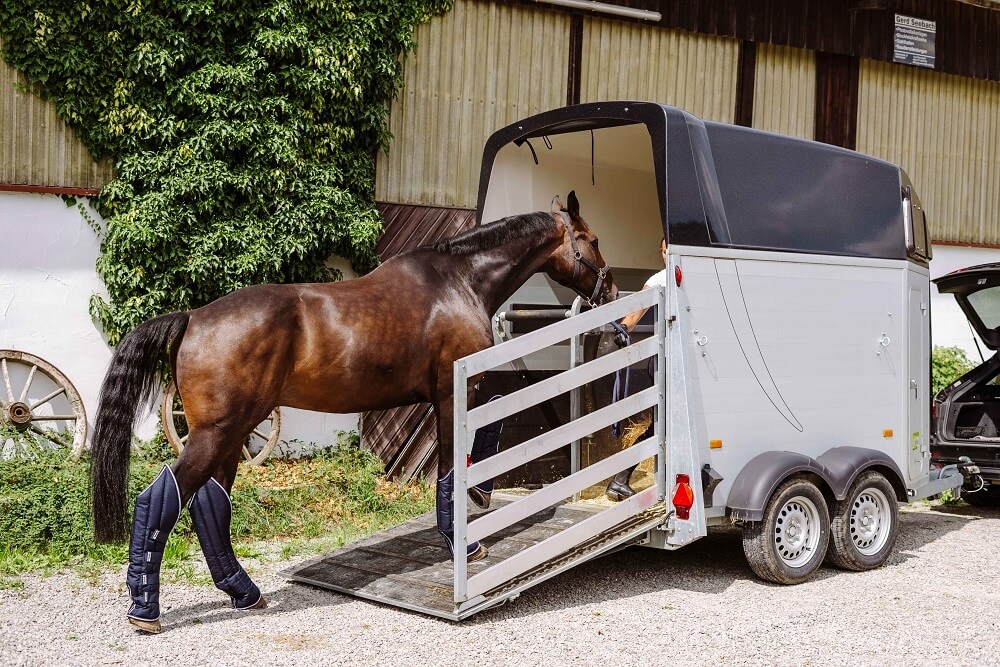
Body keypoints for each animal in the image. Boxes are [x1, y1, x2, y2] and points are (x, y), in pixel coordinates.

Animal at [90, 190, 616, 636]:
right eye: (591, 240)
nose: (609, 293)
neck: (459, 281)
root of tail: (194, 317)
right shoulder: (452, 394)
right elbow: (450, 469)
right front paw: (463, 539)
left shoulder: (455, 393)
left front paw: (481, 494)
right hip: (215, 433)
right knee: (162, 497)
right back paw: (145, 609)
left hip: (232, 433)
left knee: (209, 503)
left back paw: (243, 592)